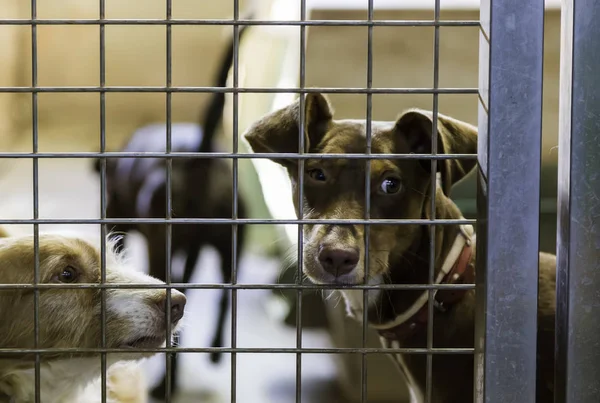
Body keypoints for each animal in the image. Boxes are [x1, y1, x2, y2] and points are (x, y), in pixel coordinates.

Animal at [92, 26, 247, 400]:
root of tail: (198, 157)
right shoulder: (191, 251)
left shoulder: (118, 221)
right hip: (228, 246)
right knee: (225, 297)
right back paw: (216, 351)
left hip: (161, 246)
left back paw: (168, 381)